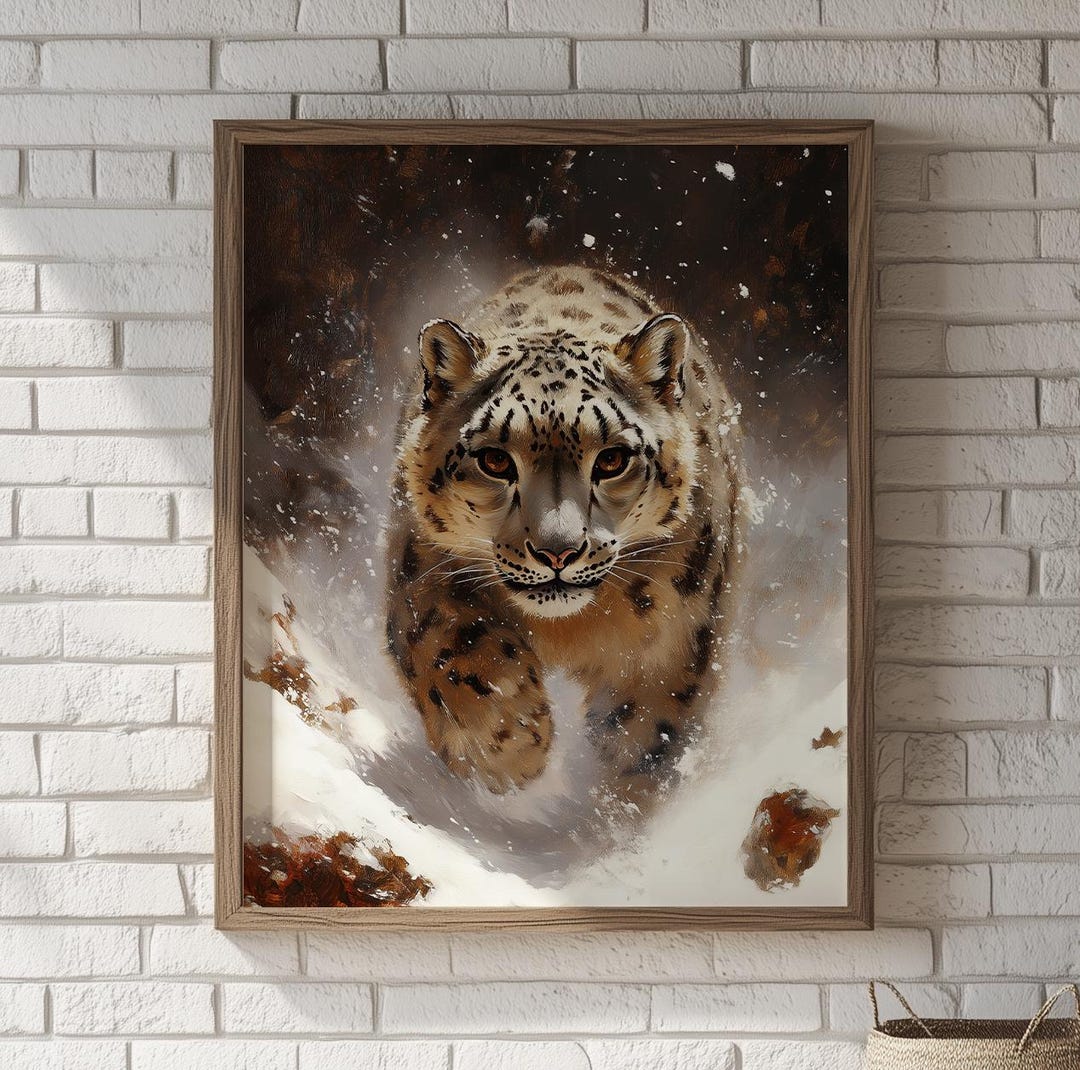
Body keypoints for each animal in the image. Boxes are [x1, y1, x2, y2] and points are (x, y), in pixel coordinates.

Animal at [384, 265, 745, 811]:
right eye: (495, 460)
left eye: (612, 459)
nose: (558, 551)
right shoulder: (423, 570)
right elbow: (451, 647)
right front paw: (508, 748)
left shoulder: (680, 628)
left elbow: (650, 717)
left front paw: (623, 795)